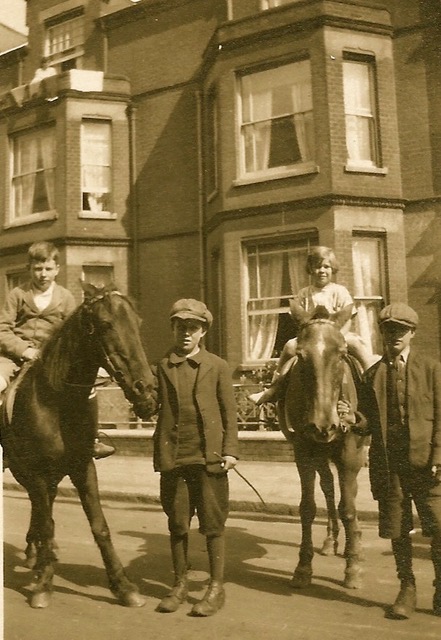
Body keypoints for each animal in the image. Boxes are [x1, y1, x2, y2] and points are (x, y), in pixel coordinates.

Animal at [0, 282, 156, 608]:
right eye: (106, 324)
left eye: (137, 323)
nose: (146, 392)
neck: (57, 399)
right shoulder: (37, 470)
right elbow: (48, 523)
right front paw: (44, 584)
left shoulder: (83, 467)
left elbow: (100, 526)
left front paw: (123, 586)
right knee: (41, 509)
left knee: (42, 505)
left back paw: (37, 554)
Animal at [278, 304, 368, 592]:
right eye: (300, 355)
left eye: (341, 354)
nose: (324, 425)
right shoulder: (304, 452)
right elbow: (308, 507)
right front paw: (303, 568)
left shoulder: (350, 453)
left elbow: (348, 508)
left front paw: (353, 568)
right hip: (321, 455)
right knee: (329, 488)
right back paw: (331, 540)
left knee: (349, 494)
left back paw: (354, 544)